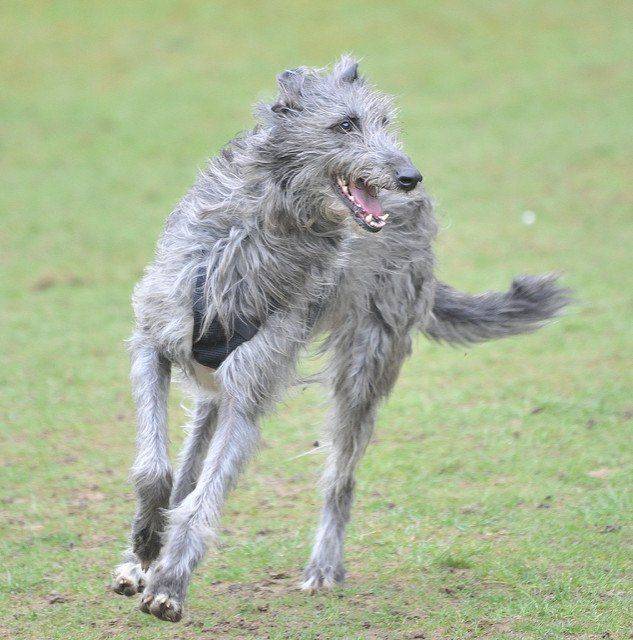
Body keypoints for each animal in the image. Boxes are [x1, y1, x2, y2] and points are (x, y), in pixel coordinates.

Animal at [111, 56, 572, 620]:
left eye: (386, 122)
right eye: (346, 124)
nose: (409, 177)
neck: (261, 230)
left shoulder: (251, 392)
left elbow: (205, 500)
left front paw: (170, 583)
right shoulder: (154, 343)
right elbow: (154, 470)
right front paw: (144, 547)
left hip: (364, 366)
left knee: (340, 478)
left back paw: (323, 567)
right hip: (218, 383)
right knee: (190, 458)